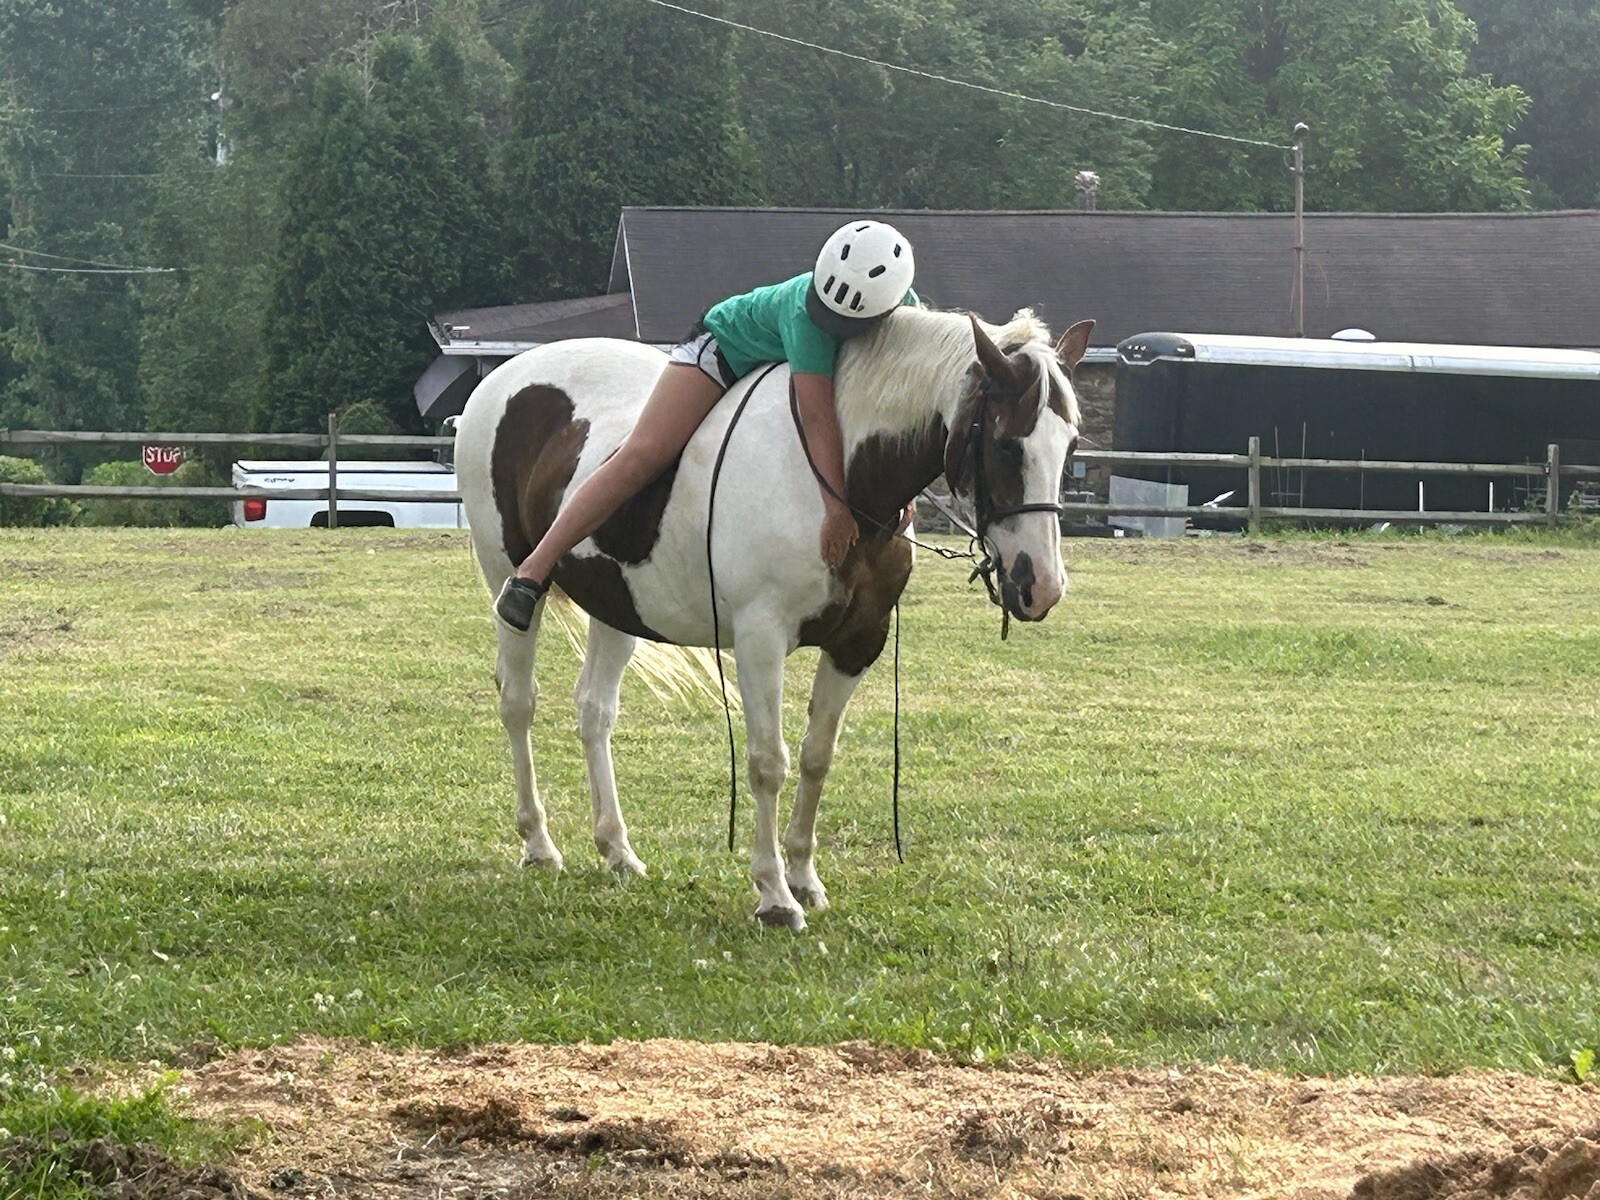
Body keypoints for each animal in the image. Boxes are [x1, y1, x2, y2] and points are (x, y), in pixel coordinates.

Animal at [453, 305, 1094, 929]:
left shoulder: (858, 643)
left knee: (594, 711)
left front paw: (805, 876)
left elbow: (816, 757)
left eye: (1072, 445)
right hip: (506, 573)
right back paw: (538, 843)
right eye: (1007, 445)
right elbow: (767, 763)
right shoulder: (760, 642)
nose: (1041, 585)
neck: (839, 477)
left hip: (616, 606)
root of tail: (500, 380)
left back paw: (616, 850)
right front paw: (774, 894)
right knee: (518, 702)